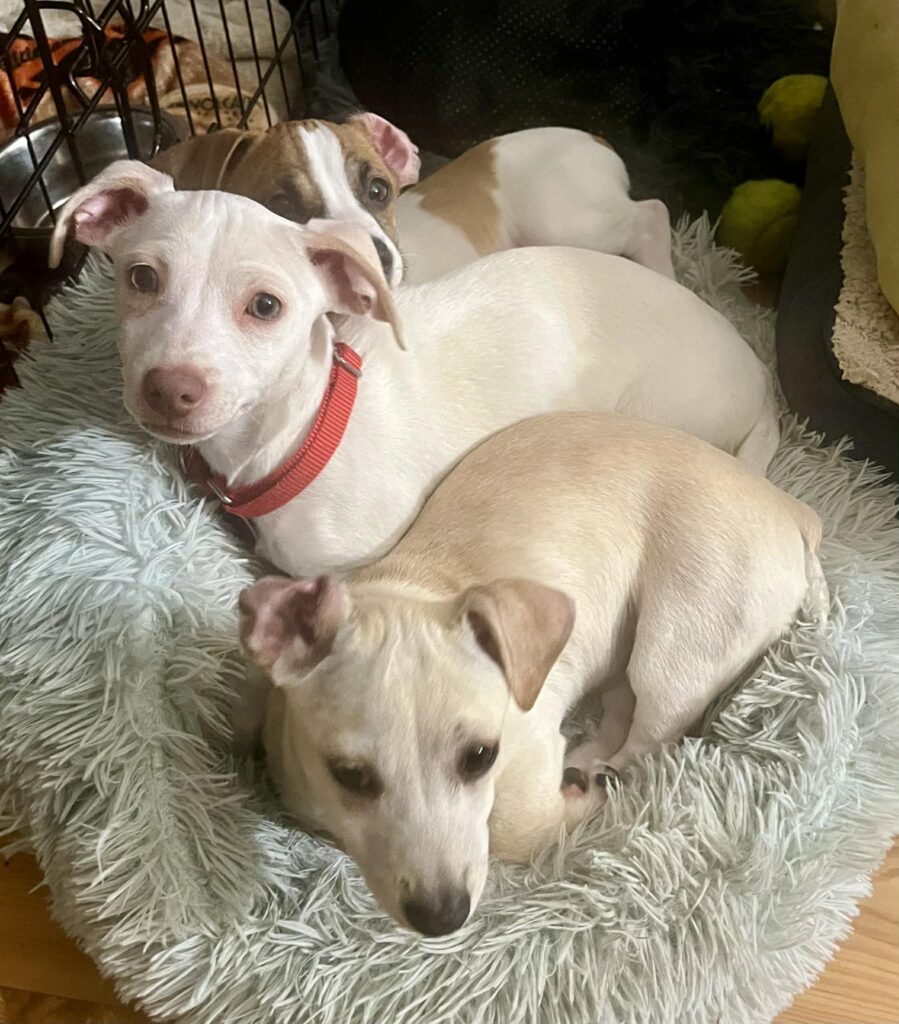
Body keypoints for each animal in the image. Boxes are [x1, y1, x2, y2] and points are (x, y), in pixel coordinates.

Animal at [150, 116, 675, 285]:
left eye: (378, 190)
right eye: (282, 206)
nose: (375, 258)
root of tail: (593, 137)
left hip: (567, 221)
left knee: (653, 212)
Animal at [238, 411, 828, 935]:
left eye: (481, 756)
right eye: (350, 775)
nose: (442, 917)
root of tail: (793, 510)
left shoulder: (527, 754)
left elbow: (520, 831)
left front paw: (576, 803)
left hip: (673, 654)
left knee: (649, 737)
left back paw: (602, 775)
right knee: (620, 716)